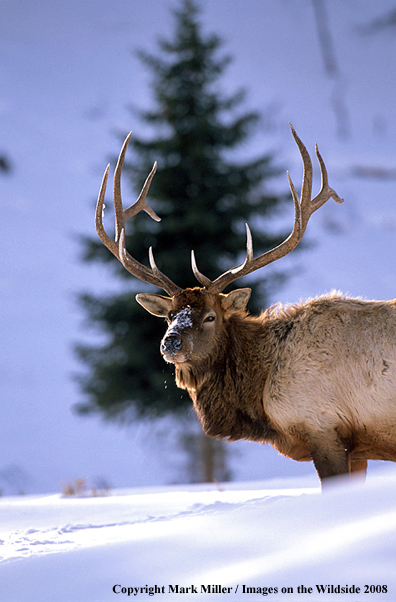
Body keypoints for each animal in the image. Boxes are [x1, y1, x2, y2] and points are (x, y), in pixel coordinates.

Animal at [95, 123, 396, 482]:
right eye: (169, 315)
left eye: (210, 316)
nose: (171, 342)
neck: (261, 392)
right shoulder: (358, 447)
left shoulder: (324, 428)